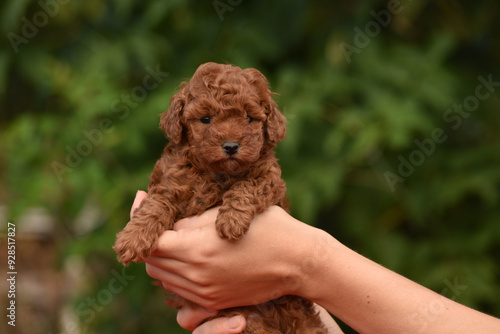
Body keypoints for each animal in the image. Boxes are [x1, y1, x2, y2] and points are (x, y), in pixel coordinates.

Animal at [113, 62, 328, 332]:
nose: (231, 146)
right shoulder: (170, 184)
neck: (217, 172)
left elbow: (247, 187)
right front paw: (132, 239)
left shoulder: (270, 178)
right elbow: (155, 206)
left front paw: (231, 220)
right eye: (205, 119)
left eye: (249, 118)